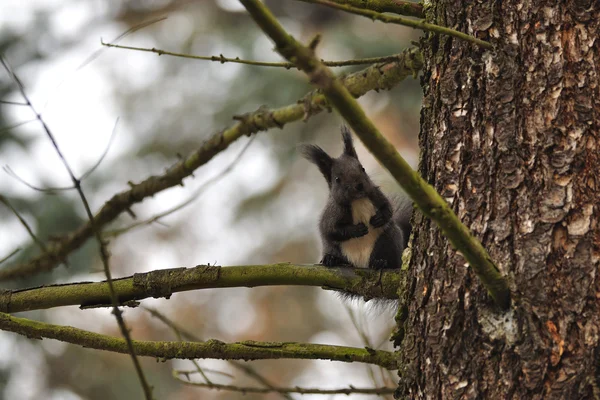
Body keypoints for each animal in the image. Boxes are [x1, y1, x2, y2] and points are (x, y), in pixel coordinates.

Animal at [300, 126, 412, 270]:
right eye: (337, 179)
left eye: (362, 168)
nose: (359, 185)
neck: (358, 200)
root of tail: (360, 264)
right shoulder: (332, 213)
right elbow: (331, 230)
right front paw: (356, 229)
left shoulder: (376, 194)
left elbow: (388, 209)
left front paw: (380, 218)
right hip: (332, 247)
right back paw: (332, 259)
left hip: (389, 240)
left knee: (392, 259)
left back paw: (381, 262)